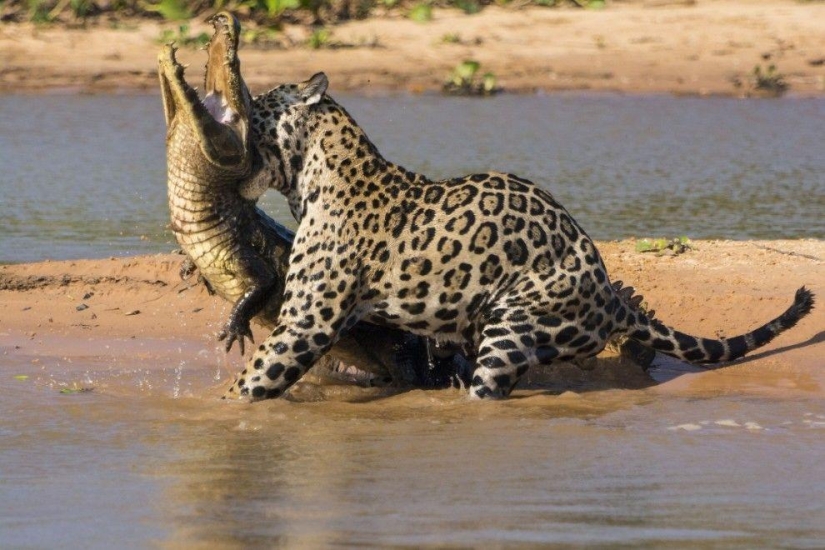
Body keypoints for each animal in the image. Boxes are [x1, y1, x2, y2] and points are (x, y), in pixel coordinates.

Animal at [225, 72, 814, 401]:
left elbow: (255, 380)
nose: (232, 109)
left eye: (257, 106)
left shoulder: (307, 322)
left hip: (515, 322)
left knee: (492, 386)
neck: (314, 175)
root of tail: (609, 295)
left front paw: (225, 406)